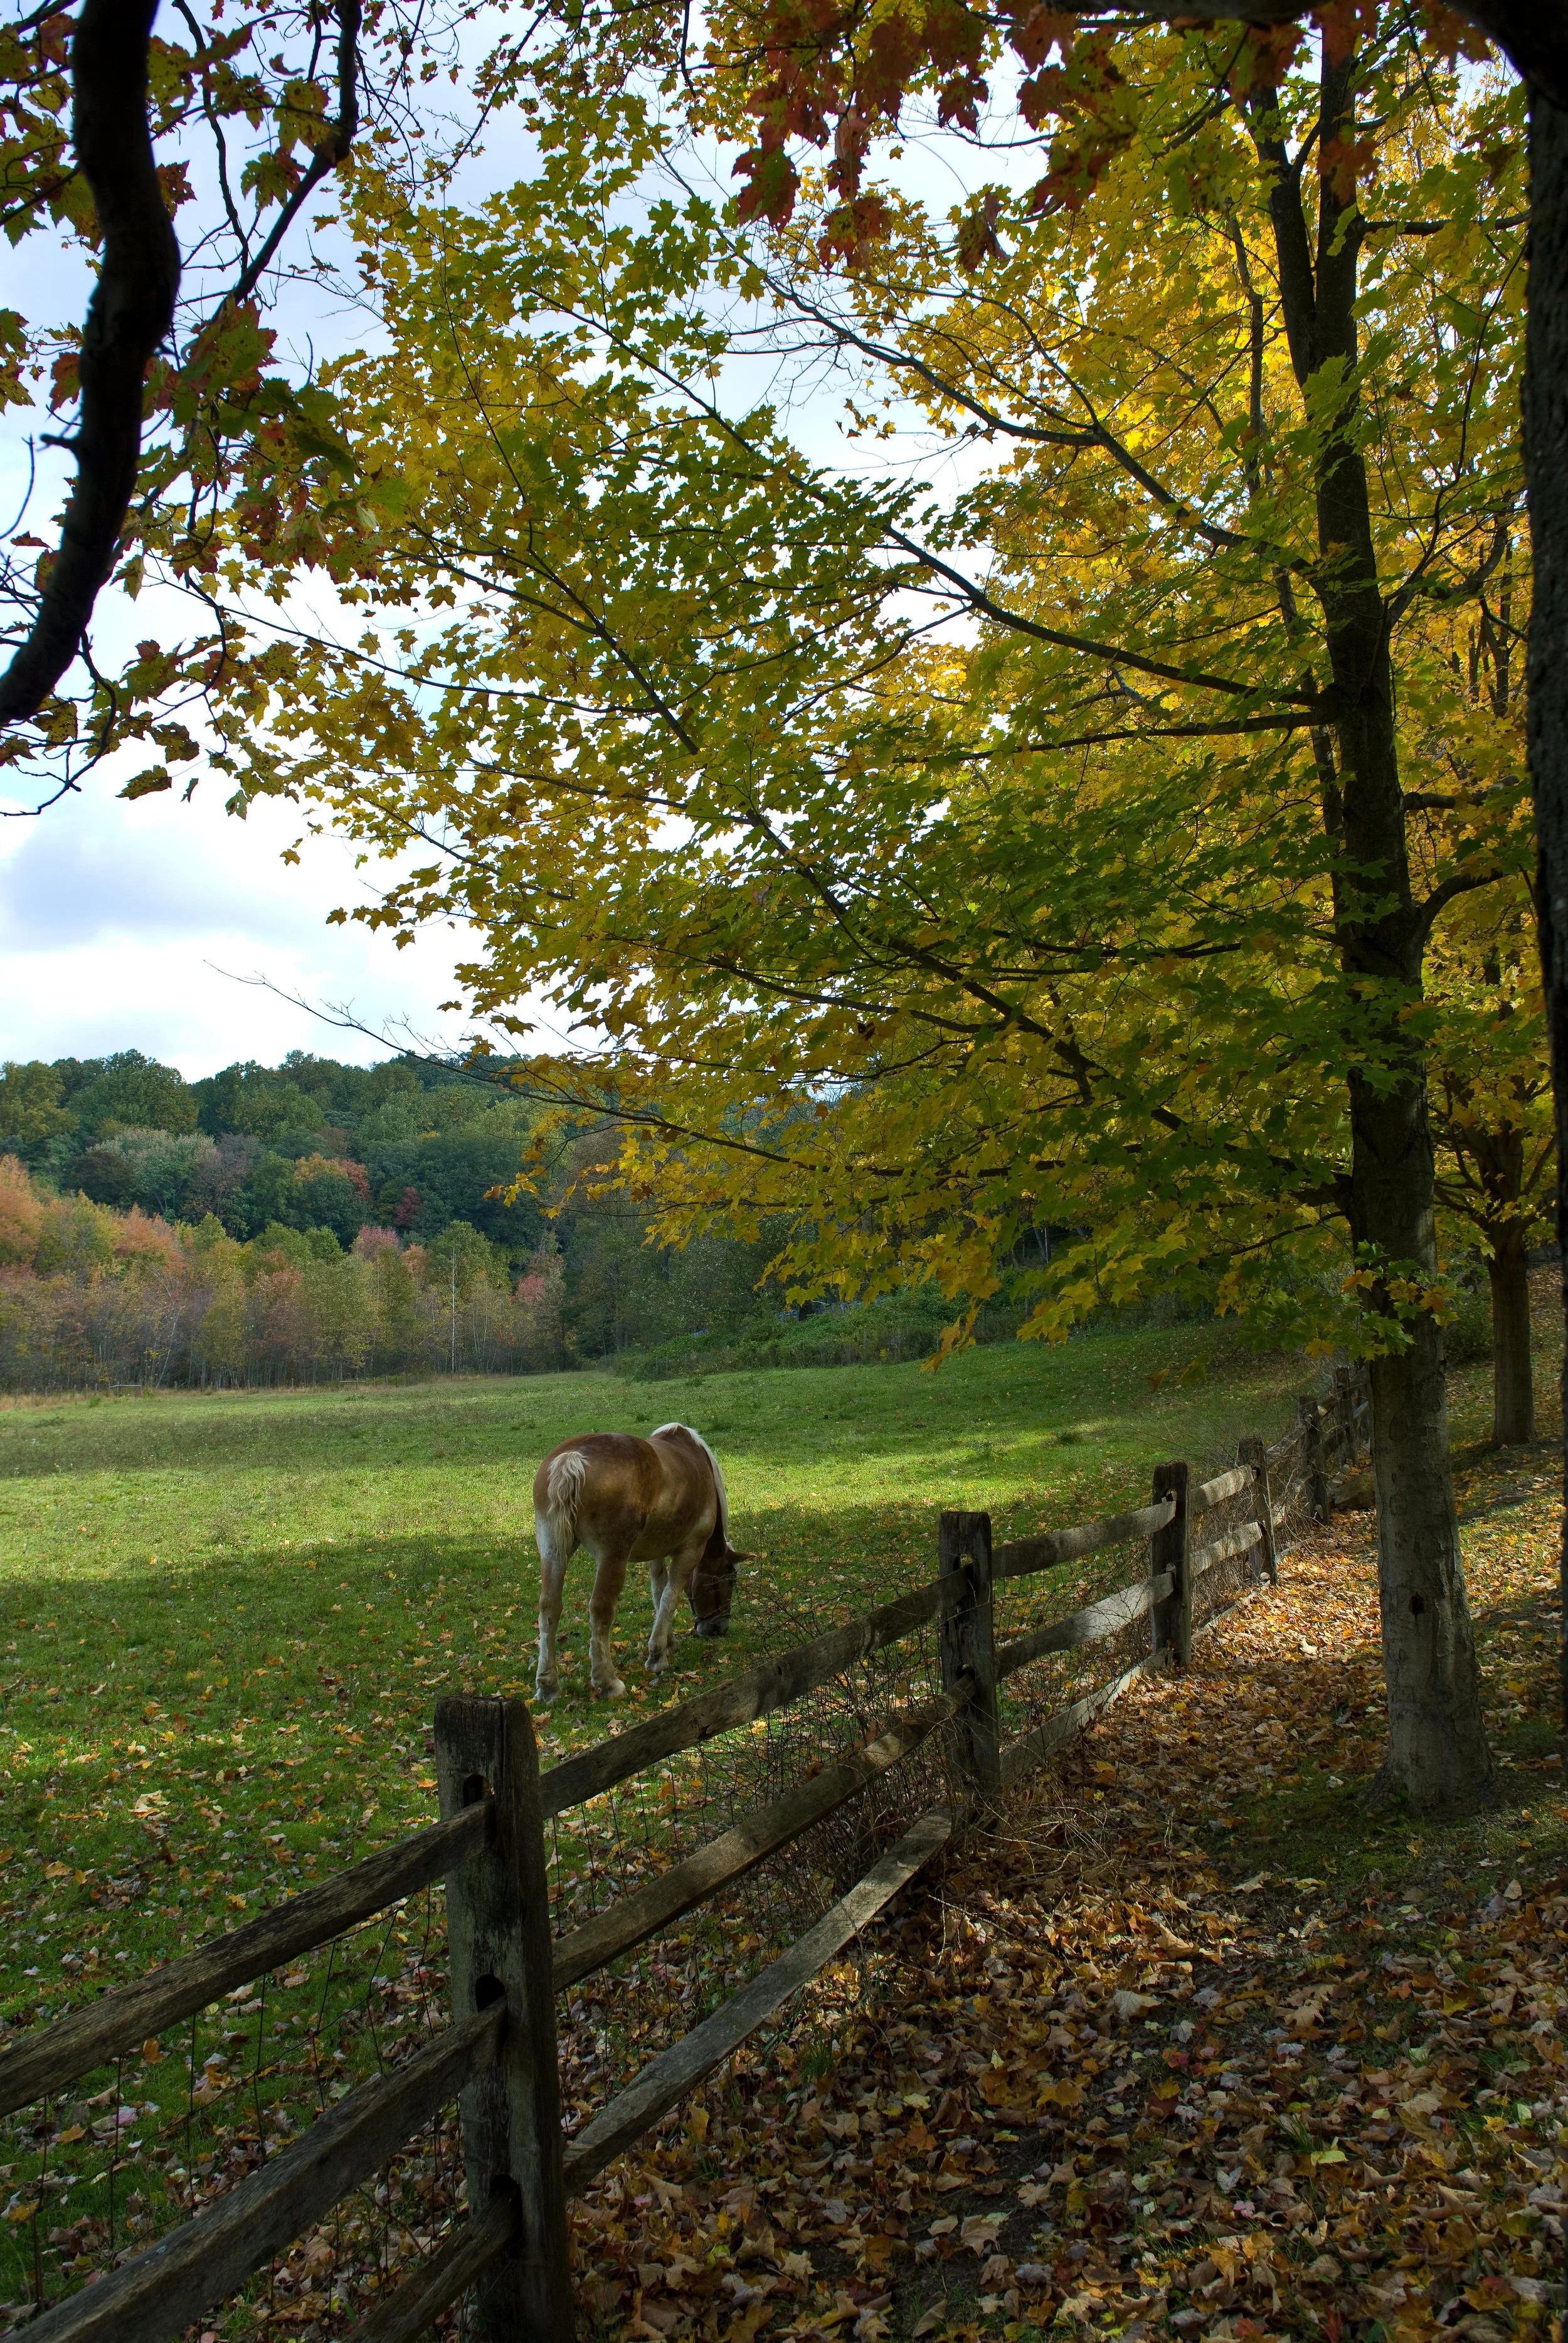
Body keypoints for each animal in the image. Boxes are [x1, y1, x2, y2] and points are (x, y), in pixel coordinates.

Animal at [532, 1422, 744, 1699]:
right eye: (729, 1581)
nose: (720, 1628)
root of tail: (573, 1457)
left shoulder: (656, 1553)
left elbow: (659, 1594)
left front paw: (668, 1642)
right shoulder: (690, 1551)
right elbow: (670, 1597)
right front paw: (657, 1656)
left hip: (553, 1552)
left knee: (549, 1608)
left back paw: (548, 1685)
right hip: (612, 1558)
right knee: (600, 1610)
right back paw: (608, 1682)